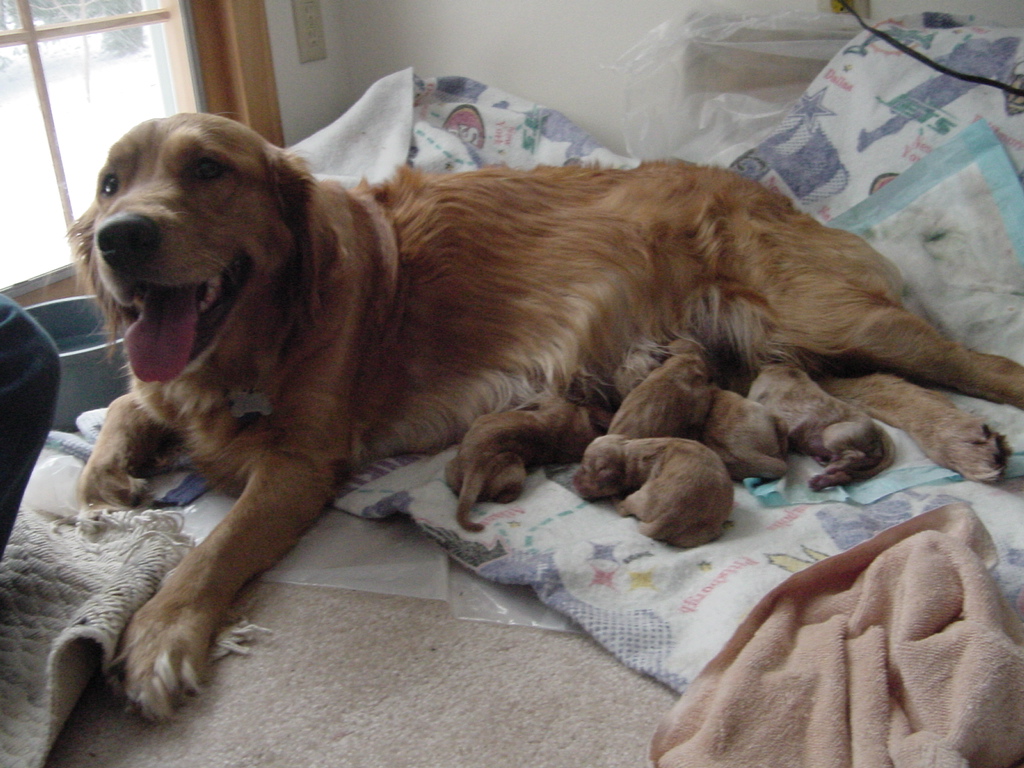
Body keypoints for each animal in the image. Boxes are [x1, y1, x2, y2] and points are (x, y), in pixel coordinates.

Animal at [573, 436, 733, 548]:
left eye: (584, 469)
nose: (572, 481)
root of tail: (668, 518)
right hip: (702, 533)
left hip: (640, 496)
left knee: (623, 509)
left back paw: (616, 498)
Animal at [745, 364, 897, 489]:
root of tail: (877, 429)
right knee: (847, 474)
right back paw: (822, 480)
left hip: (833, 434)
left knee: (855, 455)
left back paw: (832, 466)